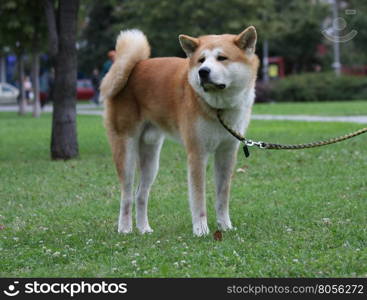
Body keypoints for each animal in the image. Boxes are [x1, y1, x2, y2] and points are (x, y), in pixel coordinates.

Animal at [102, 26, 260, 237]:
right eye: (201, 60)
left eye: (222, 58)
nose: (203, 72)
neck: (218, 108)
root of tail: (134, 66)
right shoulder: (197, 153)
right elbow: (198, 198)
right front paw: (201, 230)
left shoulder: (226, 153)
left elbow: (222, 196)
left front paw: (225, 226)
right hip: (126, 152)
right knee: (126, 195)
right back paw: (125, 228)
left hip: (151, 158)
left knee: (140, 194)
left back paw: (144, 229)